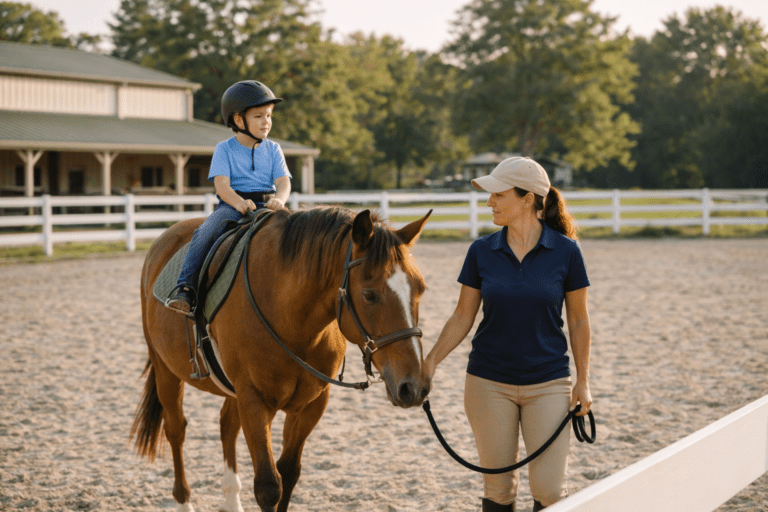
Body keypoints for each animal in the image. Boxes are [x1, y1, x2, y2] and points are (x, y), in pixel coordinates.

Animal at [132, 206, 432, 512]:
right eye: (369, 294)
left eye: (420, 289)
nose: (413, 386)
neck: (292, 320)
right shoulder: (254, 401)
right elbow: (268, 486)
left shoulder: (311, 404)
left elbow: (288, 473)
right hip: (166, 371)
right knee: (176, 430)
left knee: (227, 427)